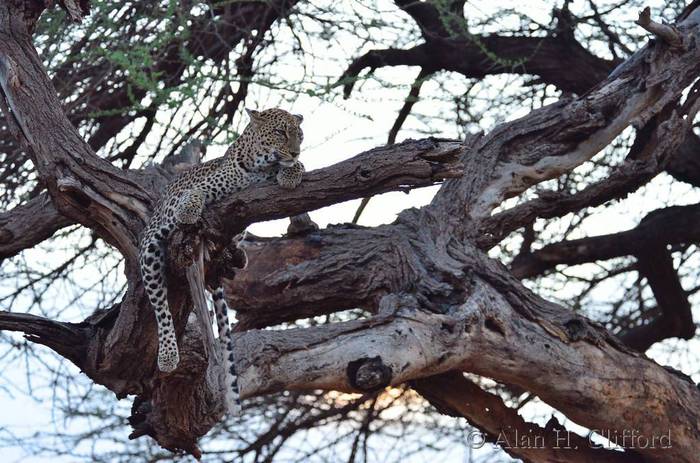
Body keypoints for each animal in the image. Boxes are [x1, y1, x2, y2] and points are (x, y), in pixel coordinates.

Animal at [138, 108, 305, 415]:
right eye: (280, 132)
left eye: (299, 135)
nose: (295, 151)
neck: (259, 166)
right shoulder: (204, 187)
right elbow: (194, 194)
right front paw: (188, 210)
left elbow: (296, 168)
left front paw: (291, 171)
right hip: (150, 250)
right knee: (161, 307)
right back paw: (167, 355)